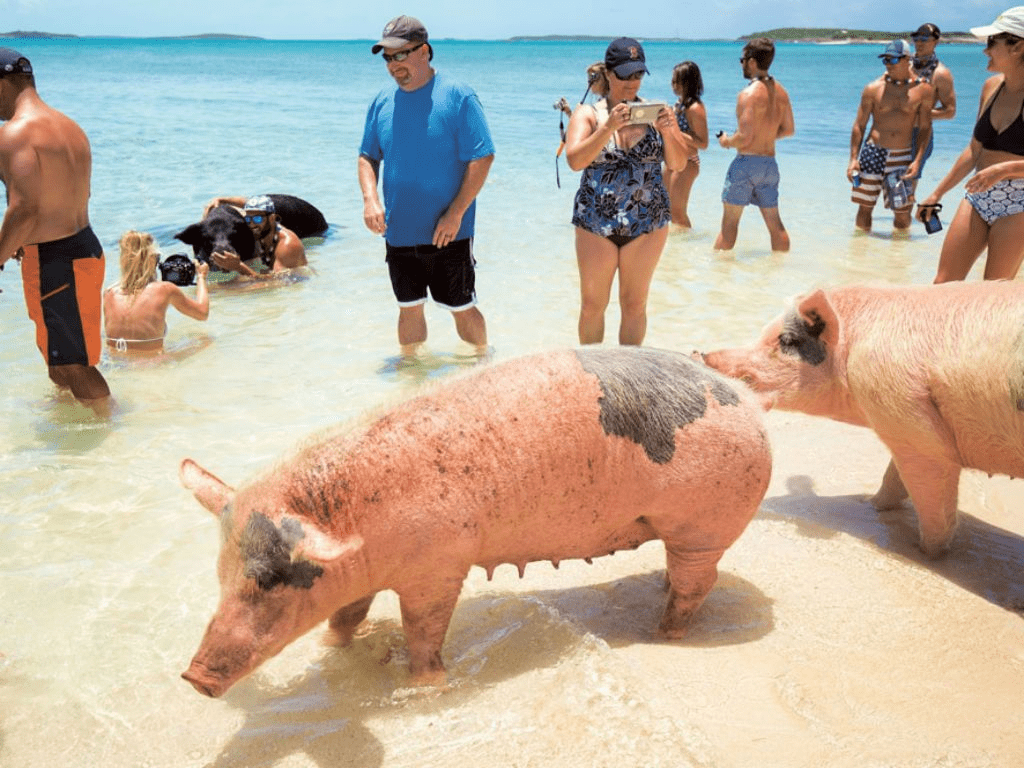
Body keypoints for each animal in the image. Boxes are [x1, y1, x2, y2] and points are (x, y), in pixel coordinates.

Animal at [180, 347, 772, 698]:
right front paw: (333, 649)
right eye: (221, 575)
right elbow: (347, 615)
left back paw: (662, 635)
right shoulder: (360, 576)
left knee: (697, 584)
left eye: (271, 580)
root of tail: (750, 401)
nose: (194, 677)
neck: (358, 523)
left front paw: (426, 688)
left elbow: (424, 629)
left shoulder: (440, 566)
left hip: (706, 524)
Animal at [702, 281, 1024, 557]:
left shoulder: (911, 421)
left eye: (786, 339)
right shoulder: (903, 427)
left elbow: (932, 497)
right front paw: (869, 505)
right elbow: (893, 477)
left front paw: (923, 553)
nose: (702, 352)